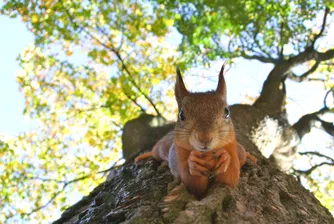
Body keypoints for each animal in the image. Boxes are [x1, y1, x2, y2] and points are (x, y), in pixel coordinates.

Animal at [135, 64, 256, 198]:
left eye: (227, 112)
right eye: (181, 115)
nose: (205, 138)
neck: (208, 155)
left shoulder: (231, 149)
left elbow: (230, 178)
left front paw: (225, 157)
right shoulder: (180, 155)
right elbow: (194, 185)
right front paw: (193, 161)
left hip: (239, 151)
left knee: (243, 153)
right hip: (161, 148)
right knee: (155, 151)